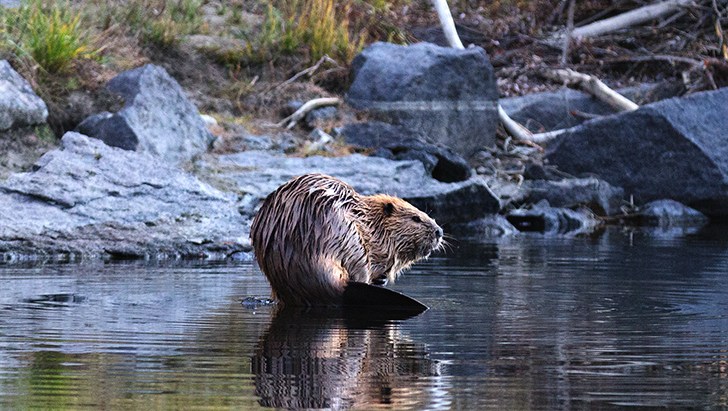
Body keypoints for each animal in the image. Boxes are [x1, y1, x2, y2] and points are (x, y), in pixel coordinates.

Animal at [250, 173, 444, 306]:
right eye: (416, 218)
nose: (439, 231)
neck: (369, 221)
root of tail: (336, 288)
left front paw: (382, 278)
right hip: (348, 239)